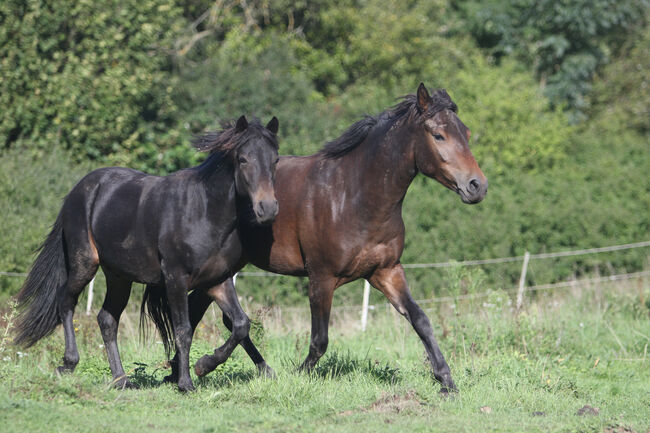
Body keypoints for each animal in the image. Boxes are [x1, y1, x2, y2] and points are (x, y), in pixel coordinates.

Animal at [14, 115, 278, 392]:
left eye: (275, 160)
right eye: (243, 159)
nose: (268, 208)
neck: (204, 211)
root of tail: (76, 193)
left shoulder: (218, 280)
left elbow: (240, 324)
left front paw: (204, 365)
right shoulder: (175, 278)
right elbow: (183, 329)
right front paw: (185, 383)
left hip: (118, 276)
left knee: (107, 319)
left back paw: (121, 380)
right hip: (85, 263)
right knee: (66, 300)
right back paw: (68, 363)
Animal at [165, 82, 484, 392]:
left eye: (466, 133)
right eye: (438, 135)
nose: (477, 186)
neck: (353, 197)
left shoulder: (386, 271)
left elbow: (420, 320)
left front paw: (446, 380)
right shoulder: (321, 277)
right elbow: (320, 341)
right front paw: (298, 376)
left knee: (205, 313)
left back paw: (184, 370)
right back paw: (203, 368)